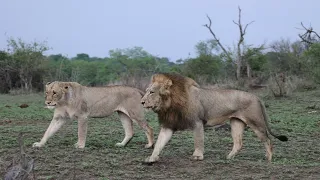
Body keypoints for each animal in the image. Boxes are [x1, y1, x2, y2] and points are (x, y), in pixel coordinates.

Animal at [140, 73, 288, 163]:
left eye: (151, 92)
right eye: (146, 91)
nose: (141, 102)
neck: (169, 105)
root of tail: (256, 97)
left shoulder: (197, 122)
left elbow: (198, 141)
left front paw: (197, 156)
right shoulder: (169, 125)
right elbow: (159, 143)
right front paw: (151, 158)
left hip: (256, 122)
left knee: (268, 140)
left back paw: (269, 159)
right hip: (236, 123)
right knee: (238, 143)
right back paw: (228, 157)